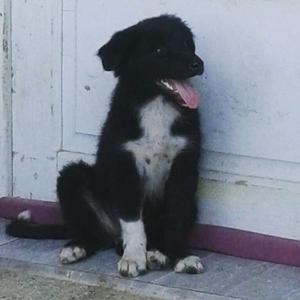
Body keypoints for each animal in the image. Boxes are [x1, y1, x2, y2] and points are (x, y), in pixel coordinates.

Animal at [7, 14, 205, 276]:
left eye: (185, 44)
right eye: (159, 50)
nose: (198, 64)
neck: (156, 105)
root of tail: (111, 235)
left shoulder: (184, 168)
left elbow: (177, 215)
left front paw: (182, 255)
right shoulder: (125, 166)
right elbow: (132, 221)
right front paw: (134, 258)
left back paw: (157, 253)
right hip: (72, 178)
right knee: (93, 232)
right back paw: (79, 247)